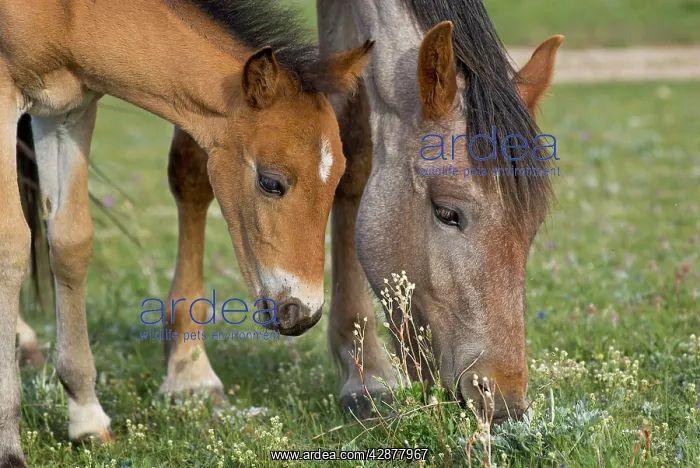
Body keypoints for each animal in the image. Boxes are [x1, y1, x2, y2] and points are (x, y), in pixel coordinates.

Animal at [0, 0, 373, 464]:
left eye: (338, 177)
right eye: (271, 182)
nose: (302, 313)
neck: (67, 16)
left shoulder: (68, 108)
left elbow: (71, 242)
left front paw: (86, 418)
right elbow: (10, 245)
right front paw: (8, 444)